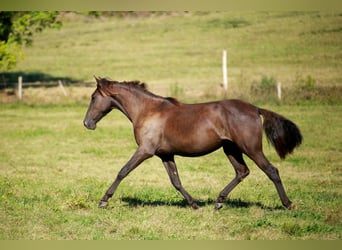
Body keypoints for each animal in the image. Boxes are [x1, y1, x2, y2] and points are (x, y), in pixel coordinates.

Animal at [84, 77, 304, 210]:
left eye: (93, 97)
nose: (87, 123)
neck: (147, 111)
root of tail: (255, 109)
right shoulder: (165, 154)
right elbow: (176, 181)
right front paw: (193, 204)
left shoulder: (145, 150)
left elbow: (123, 171)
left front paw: (103, 200)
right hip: (230, 149)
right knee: (242, 171)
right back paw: (218, 202)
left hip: (251, 148)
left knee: (271, 171)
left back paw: (288, 204)